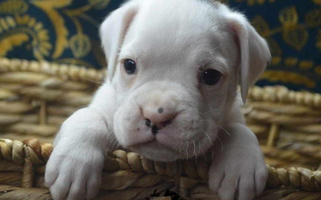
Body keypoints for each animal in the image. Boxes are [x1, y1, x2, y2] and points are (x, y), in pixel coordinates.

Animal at [45, 0, 270, 199]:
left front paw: (241, 166)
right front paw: (74, 161)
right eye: (129, 65)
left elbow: (239, 128)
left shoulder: (233, 114)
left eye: (211, 76)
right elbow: (87, 115)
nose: (156, 116)